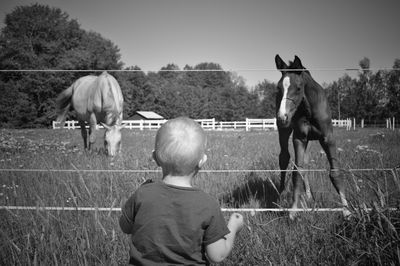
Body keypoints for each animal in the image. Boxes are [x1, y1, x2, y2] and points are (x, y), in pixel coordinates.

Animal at [276, 54, 350, 218]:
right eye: (278, 88)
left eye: (298, 88)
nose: (282, 117)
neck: (309, 110)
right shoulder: (299, 138)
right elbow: (297, 171)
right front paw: (293, 210)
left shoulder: (328, 139)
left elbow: (335, 172)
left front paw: (347, 210)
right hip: (284, 131)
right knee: (284, 158)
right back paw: (281, 194)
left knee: (306, 164)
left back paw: (309, 196)